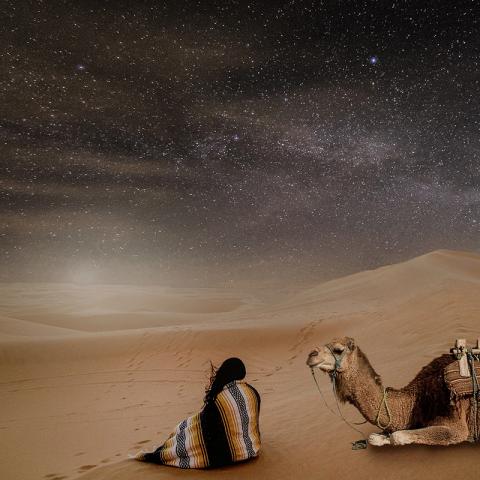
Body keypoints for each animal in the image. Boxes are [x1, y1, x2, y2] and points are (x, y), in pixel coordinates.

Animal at [306, 338, 474, 446]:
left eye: (338, 350)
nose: (311, 355)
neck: (416, 400)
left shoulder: (456, 424)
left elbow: (397, 436)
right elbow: (374, 438)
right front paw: (380, 438)